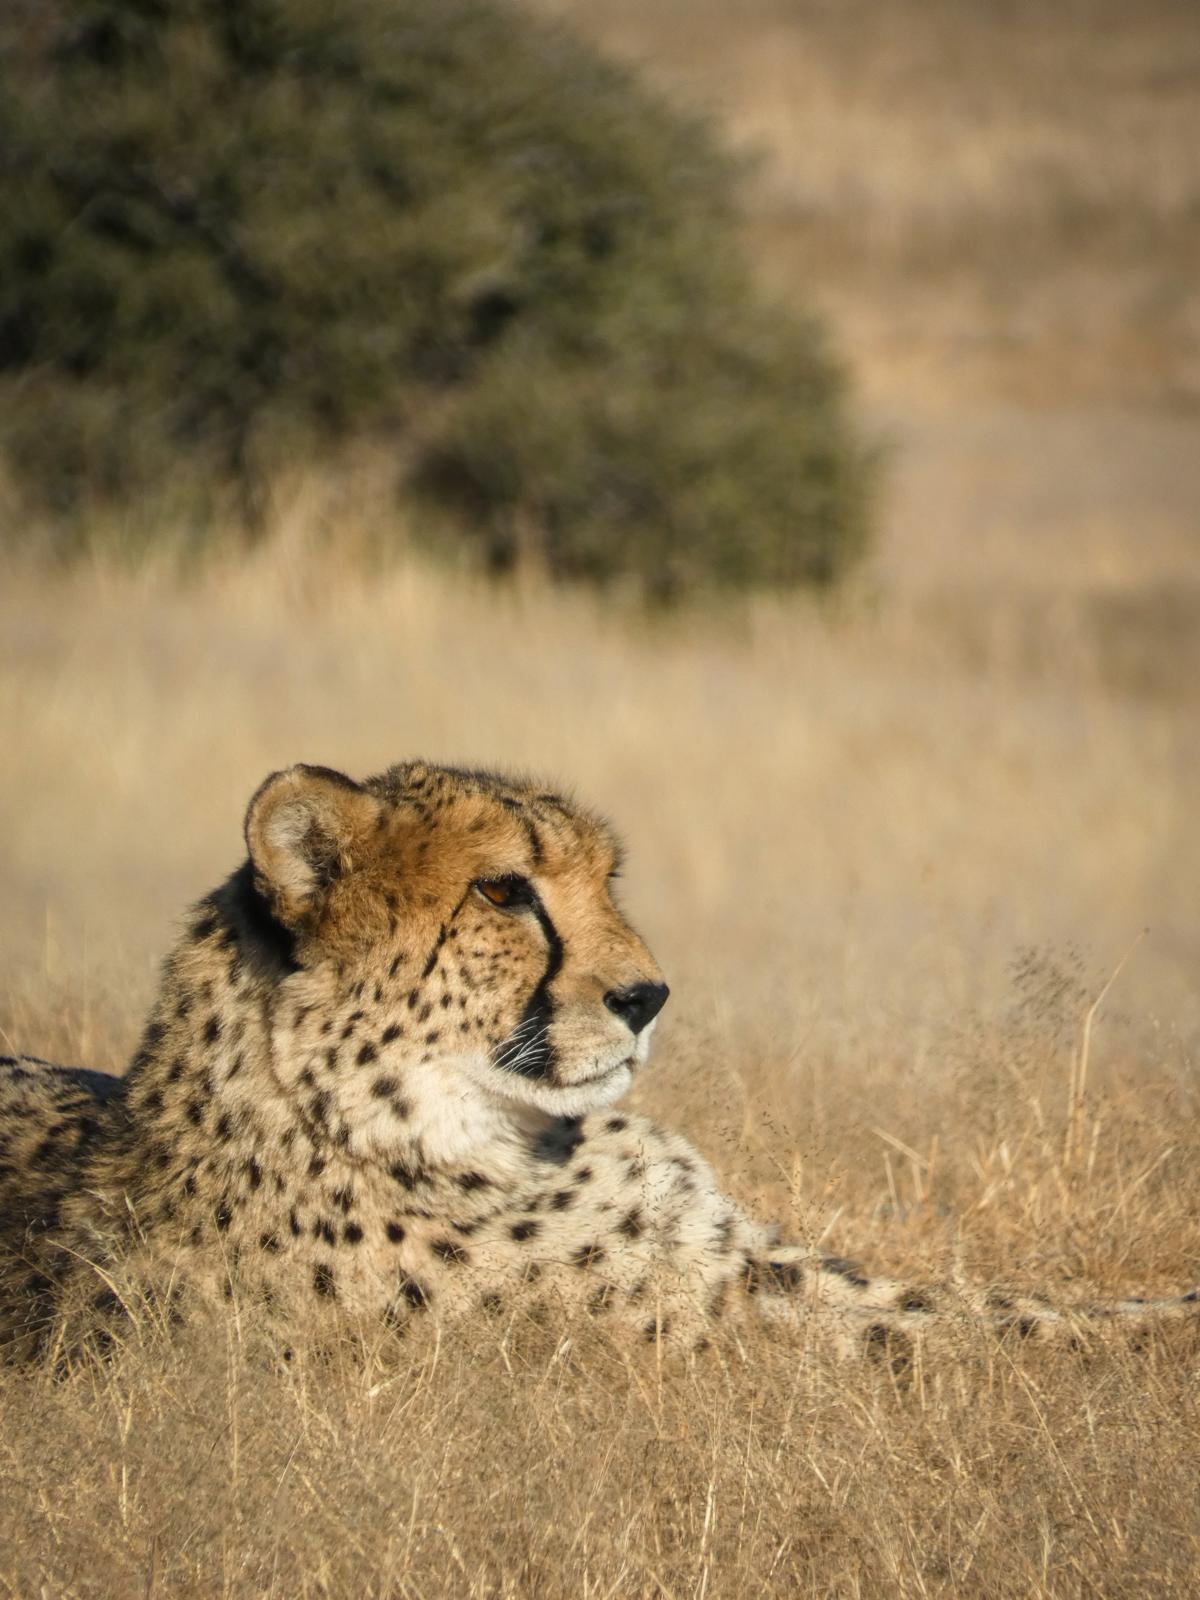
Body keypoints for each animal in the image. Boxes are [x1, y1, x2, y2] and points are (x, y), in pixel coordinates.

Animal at [2, 760, 1196, 1365]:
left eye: (605, 879)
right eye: (502, 891)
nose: (648, 995)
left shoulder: (749, 1262)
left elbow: (996, 1299)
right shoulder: (715, 1325)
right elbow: (986, 1332)